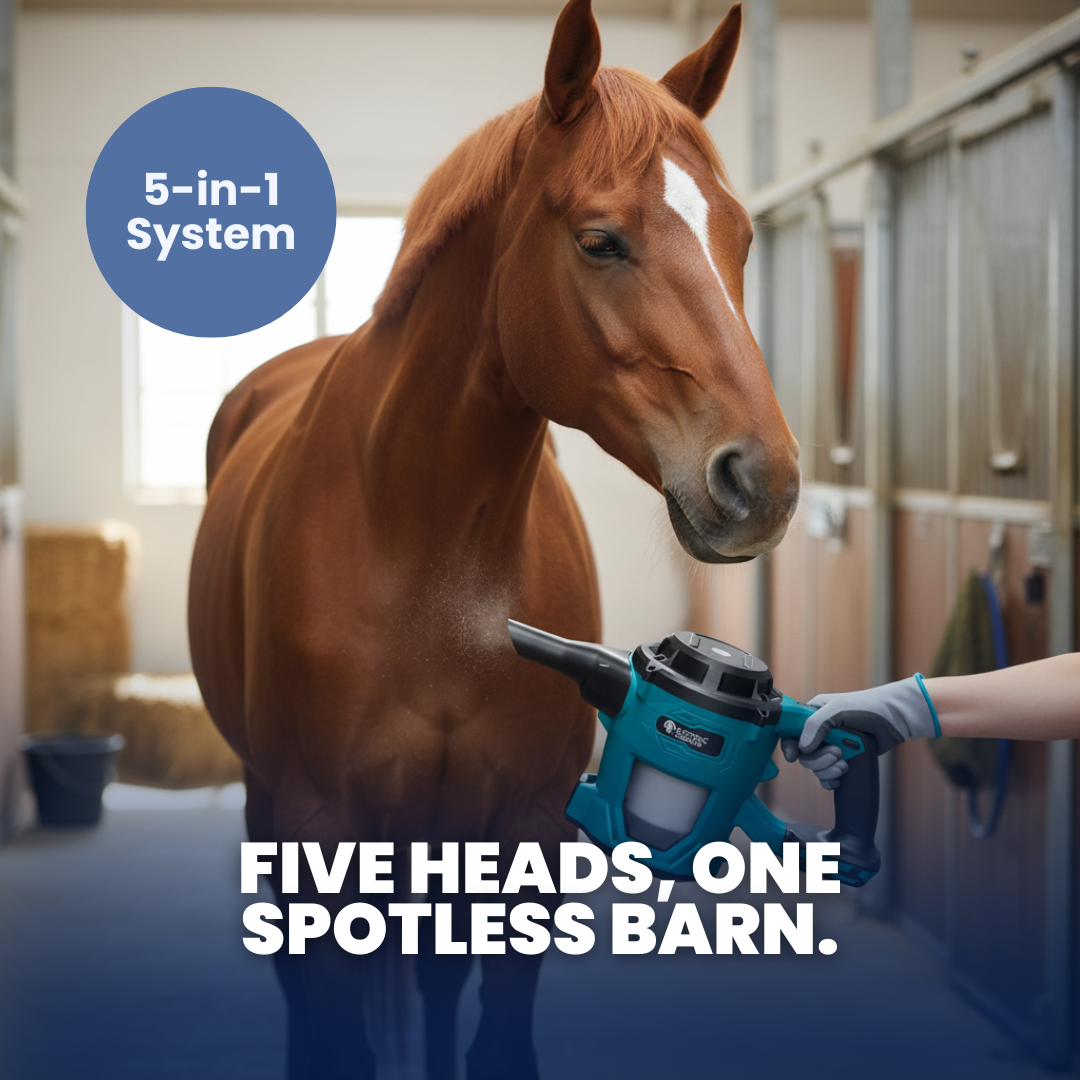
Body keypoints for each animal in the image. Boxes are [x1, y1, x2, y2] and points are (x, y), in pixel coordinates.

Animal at [188, 2, 800, 1077]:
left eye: (741, 235)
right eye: (600, 242)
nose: (761, 481)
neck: (425, 556)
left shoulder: (525, 831)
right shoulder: (318, 830)